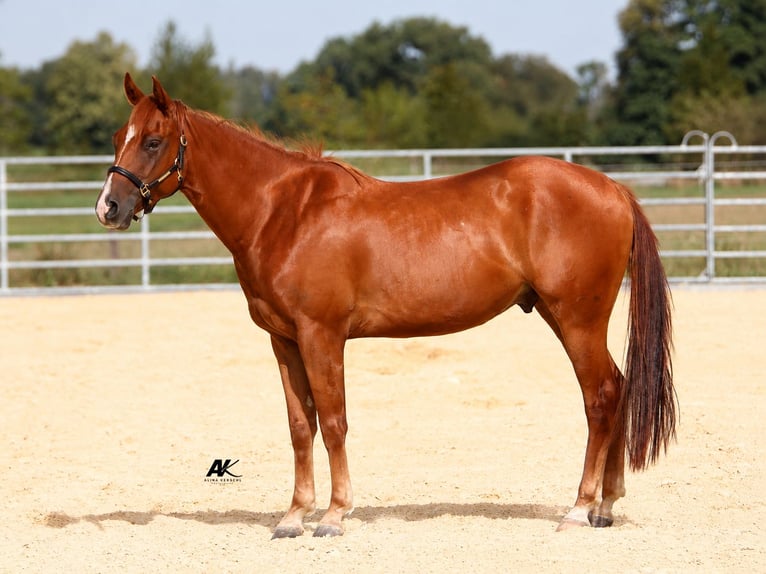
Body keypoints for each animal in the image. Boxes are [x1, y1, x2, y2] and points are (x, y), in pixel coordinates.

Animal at [95, 74, 676, 538]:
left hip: (577, 318)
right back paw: (605, 507)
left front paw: (333, 516)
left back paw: (579, 509)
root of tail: (614, 189)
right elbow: (300, 426)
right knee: (619, 387)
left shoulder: (321, 334)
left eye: (152, 140)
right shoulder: (283, 340)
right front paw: (293, 517)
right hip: (561, 315)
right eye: (118, 138)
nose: (109, 208)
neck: (282, 212)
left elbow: (333, 420)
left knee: (600, 396)